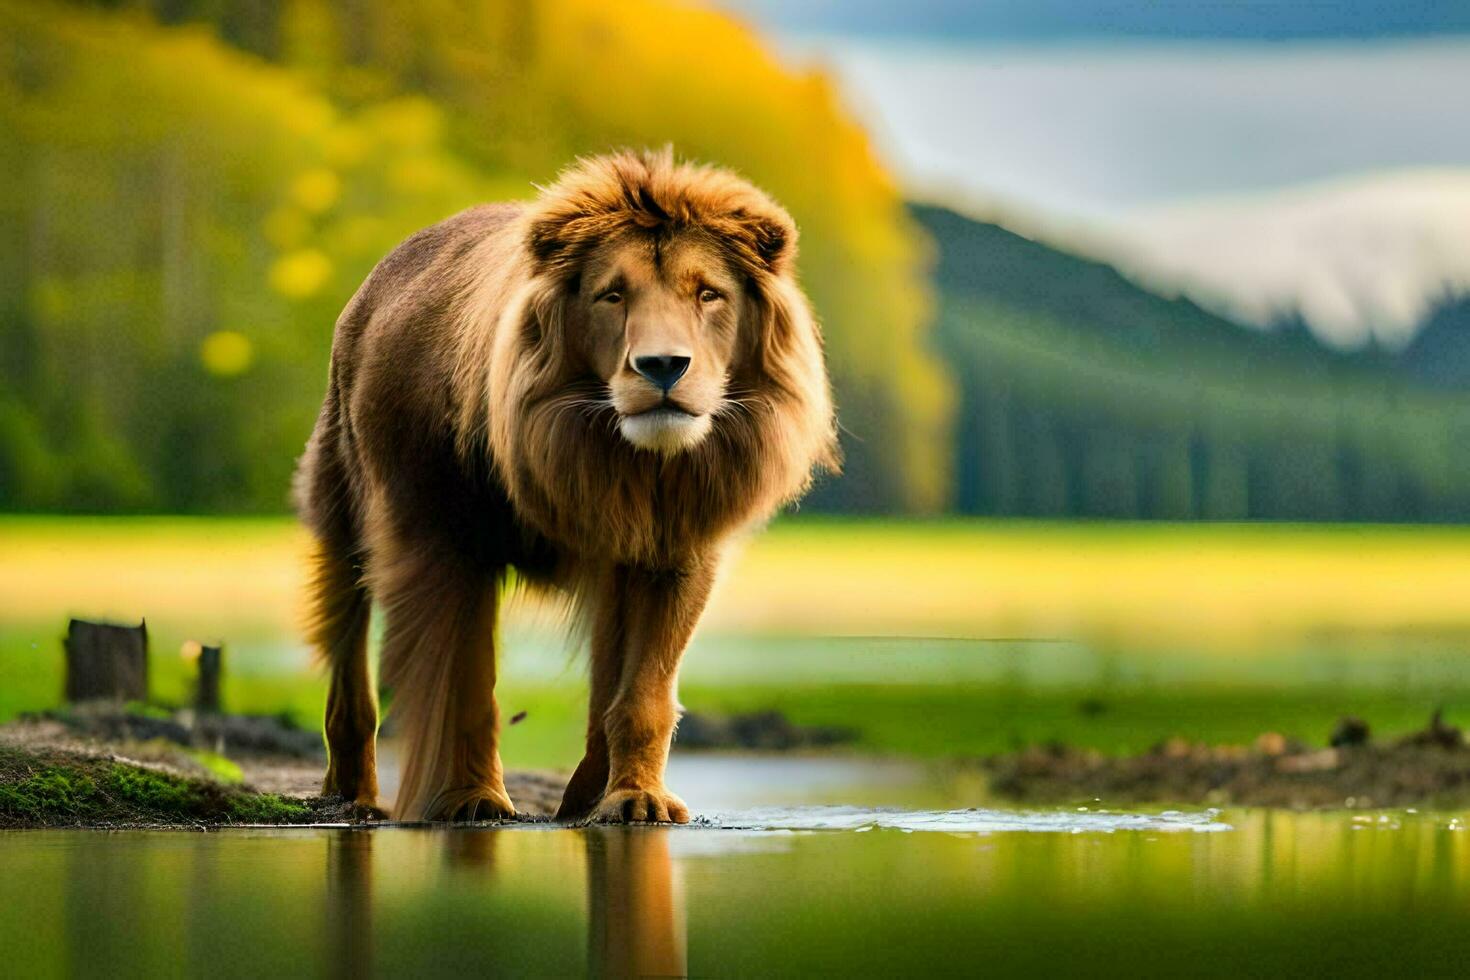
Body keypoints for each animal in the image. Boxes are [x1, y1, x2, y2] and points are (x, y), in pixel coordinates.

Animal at [292, 147, 840, 822]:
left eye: (709, 294)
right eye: (612, 296)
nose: (663, 365)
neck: (619, 458)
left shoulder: (676, 551)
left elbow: (641, 694)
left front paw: (631, 798)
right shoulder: (451, 539)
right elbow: (465, 685)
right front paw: (472, 800)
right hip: (343, 501)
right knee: (348, 656)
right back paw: (353, 792)